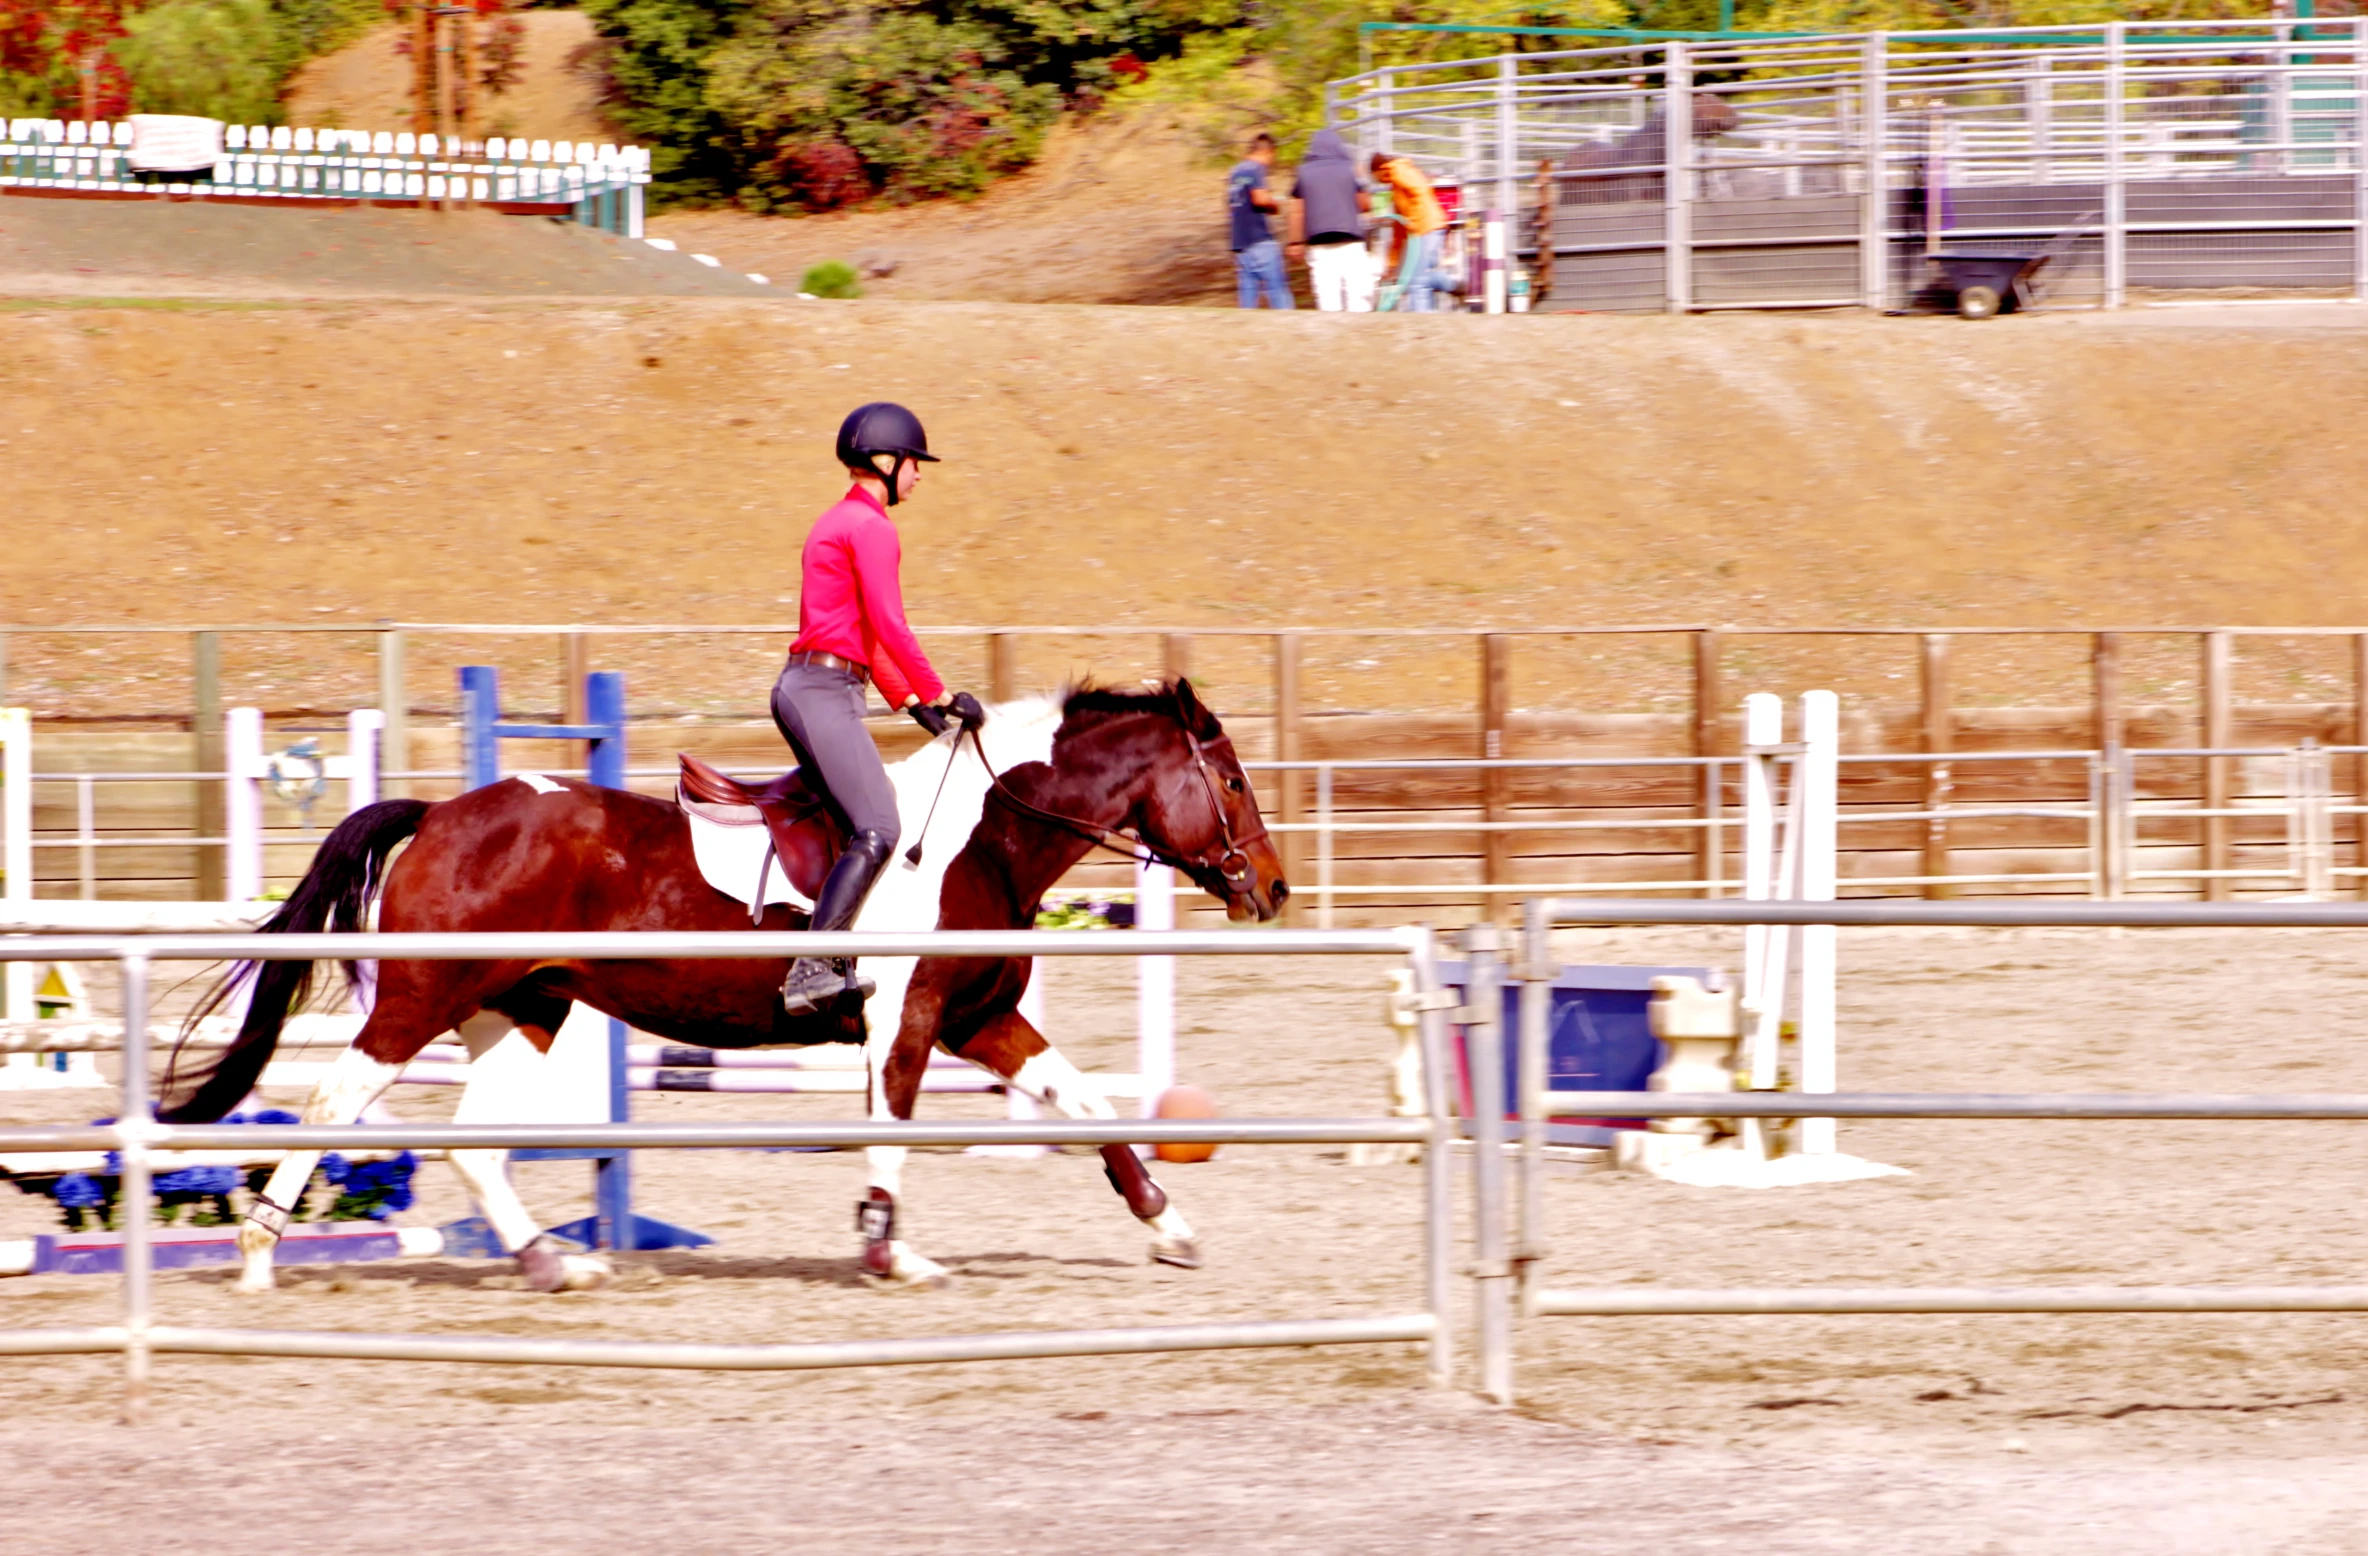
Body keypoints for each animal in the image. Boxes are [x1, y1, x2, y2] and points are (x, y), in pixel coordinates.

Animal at [162, 672, 1297, 1288]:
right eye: (1234, 779)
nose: (1276, 888)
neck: (983, 837)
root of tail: (443, 811)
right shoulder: (910, 1018)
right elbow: (893, 1124)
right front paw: (889, 1251)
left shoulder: (982, 1019)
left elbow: (1089, 1103)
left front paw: (1169, 1223)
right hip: (419, 1001)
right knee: (335, 1099)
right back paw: (258, 1251)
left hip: (522, 1007)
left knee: (474, 1140)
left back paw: (550, 1261)